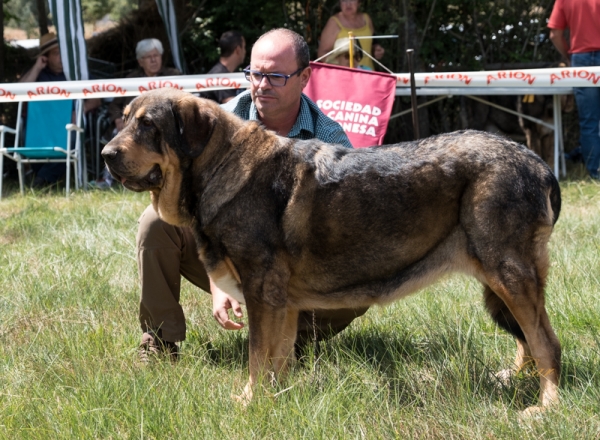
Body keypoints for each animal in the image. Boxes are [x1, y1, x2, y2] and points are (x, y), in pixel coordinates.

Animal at [102, 88, 564, 412]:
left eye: (148, 125)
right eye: (123, 122)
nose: (106, 154)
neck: (218, 167)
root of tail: (537, 163)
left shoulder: (260, 290)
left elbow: (257, 355)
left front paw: (250, 403)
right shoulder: (282, 304)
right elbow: (277, 357)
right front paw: (275, 398)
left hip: (508, 272)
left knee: (546, 343)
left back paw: (544, 406)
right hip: (499, 280)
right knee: (527, 339)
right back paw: (516, 380)